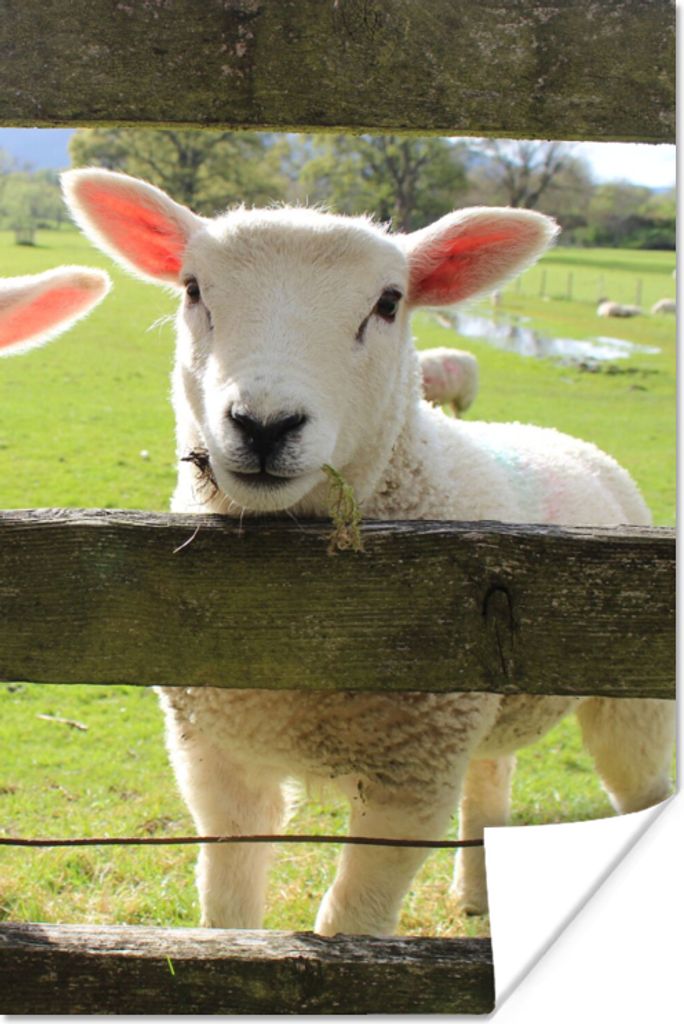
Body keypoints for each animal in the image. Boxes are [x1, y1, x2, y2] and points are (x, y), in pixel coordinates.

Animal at [62, 168, 675, 937]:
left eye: (388, 303)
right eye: (193, 289)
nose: (264, 426)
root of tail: (560, 437)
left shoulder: (411, 779)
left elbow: (351, 924)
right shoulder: (215, 759)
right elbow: (229, 908)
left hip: (630, 697)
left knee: (640, 786)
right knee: (492, 774)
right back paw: (476, 895)